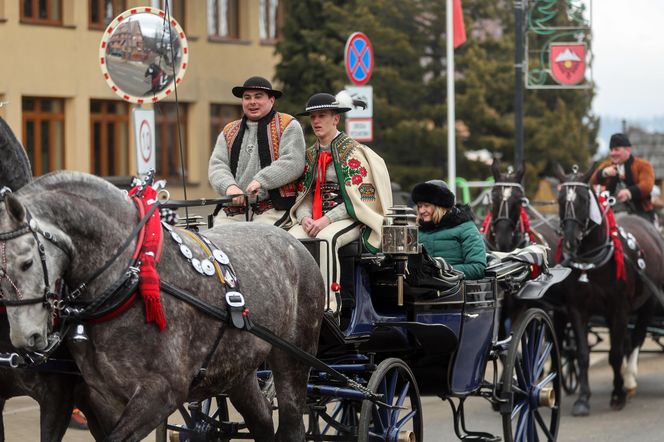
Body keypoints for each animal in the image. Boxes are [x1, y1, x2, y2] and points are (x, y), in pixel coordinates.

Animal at [0, 171, 324, 440]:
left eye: (26, 262)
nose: (25, 338)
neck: (132, 276)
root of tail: (294, 244)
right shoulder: (101, 398)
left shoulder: (160, 393)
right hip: (238, 369)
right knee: (262, 419)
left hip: (293, 359)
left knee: (292, 423)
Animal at [548, 164, 664, 416]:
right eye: (560, 199)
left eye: (583, 198)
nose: (570, 240)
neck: (591, 263)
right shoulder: (577, 310)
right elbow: (583, 354)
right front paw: (583, 399)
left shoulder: (619, 310)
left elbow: (615, 354)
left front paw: (618, 394)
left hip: (648, 303)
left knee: (636, 340)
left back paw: (629, 380)